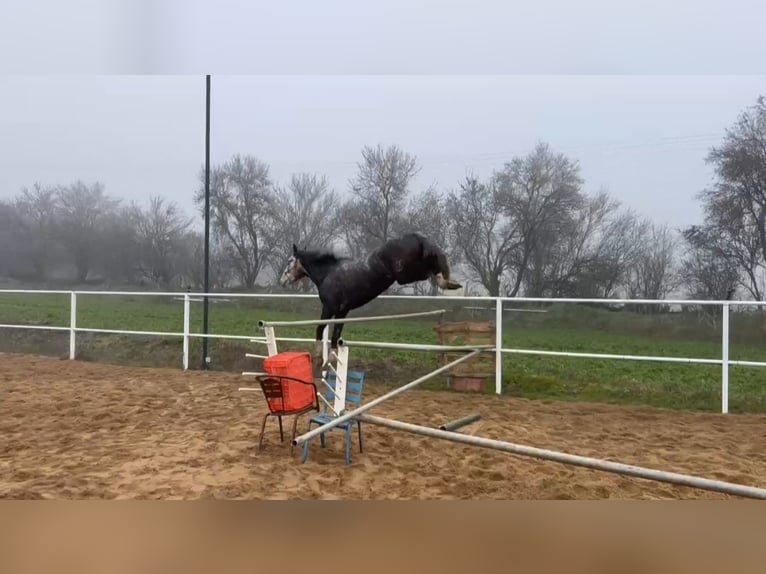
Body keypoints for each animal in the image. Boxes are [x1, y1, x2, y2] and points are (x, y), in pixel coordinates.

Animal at [280, 233, 462, 360]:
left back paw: (448, 283)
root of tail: (415, 237)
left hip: (405, 275)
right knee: (436, 265)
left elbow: (320, 328)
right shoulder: (342, 311)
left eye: (289, 260)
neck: (328, 274)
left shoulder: (329, 308)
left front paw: (318, 356)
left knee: (433, 270)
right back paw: (453, 283)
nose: (282, 280)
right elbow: (335, 337)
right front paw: (332, 359)